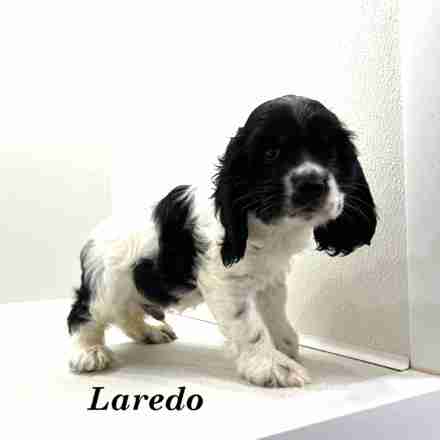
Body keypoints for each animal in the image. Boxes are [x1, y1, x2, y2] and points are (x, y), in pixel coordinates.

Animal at [68, 95, 377, 387]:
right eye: (270, 154)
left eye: (330, 152)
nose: (311, 184)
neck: (264, 223)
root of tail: (94, 235)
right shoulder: (226, 283)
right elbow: (250, 327)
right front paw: (273, 366)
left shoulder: (271, 277)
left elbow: (275, 312)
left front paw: (285, 347)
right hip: (107, 285)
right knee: (83, 314)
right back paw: (88, 352)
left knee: (125, 313)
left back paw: (149, 332)